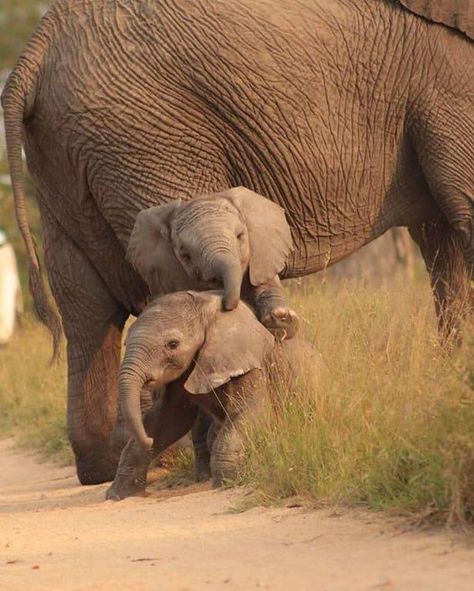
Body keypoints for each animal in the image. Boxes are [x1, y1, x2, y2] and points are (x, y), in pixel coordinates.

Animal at [105, 290, 316, 500]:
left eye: (172, 344)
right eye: (125, 342)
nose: (148, 441)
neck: (207, 308)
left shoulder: (249, 363)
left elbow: (254, 411)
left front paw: (227, 483)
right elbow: (170, 418)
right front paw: (118, 495)